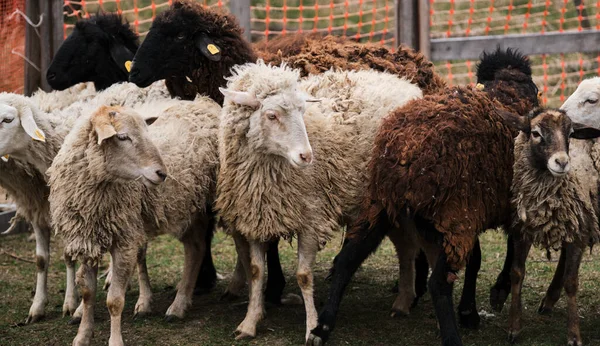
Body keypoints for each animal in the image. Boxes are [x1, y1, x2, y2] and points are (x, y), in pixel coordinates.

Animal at [217, 60, 422, 340]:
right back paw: (404, 300)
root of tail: (406, 84)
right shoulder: (257, 217)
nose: (306, 156)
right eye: (272, 115)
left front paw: (312, 327)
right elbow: (257, 271)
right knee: (407, 246)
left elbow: (304, 276)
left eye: (302, 111)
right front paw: (249, 322)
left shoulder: (312, 218)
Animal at [308, 48, 540, 346]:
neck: (509, 89)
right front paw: (483, 302)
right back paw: (452, 338)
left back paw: (322, 327)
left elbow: (480, 256)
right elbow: (500, 252)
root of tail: (404, 150)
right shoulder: (482, 209)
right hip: (449, 213)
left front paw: (472, 308)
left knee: (347, 260)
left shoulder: (470, 212)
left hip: (380, 204)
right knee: (438, 283)